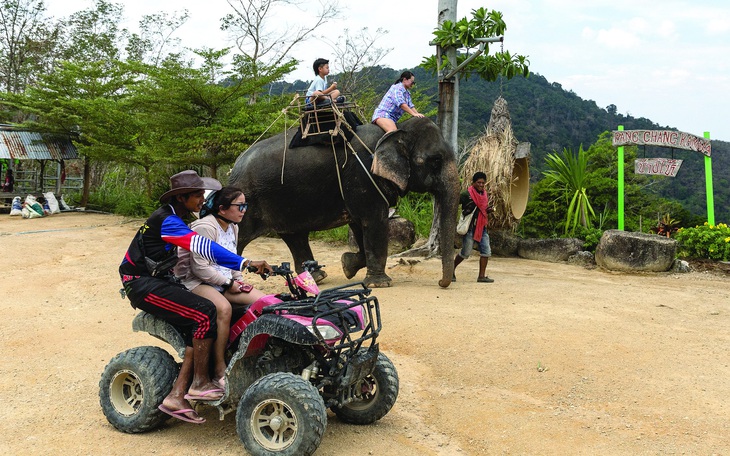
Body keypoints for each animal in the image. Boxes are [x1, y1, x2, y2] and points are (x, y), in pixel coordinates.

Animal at [229, 116, 456, 286]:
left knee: (295, 236)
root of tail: (235, 167)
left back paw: (316, 278)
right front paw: (380, 283)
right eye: (436, 160)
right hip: (247, 200)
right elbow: (374, 222)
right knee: (241, 236)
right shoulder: (363, 176)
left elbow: (359, 225)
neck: (397, 129)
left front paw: (347, 266)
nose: (442, 283)